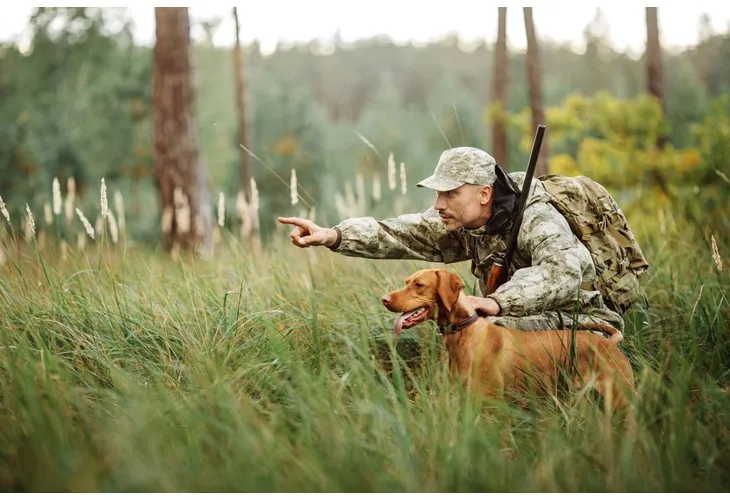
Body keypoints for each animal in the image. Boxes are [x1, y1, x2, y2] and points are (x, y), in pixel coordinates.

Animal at [378, 268, 636, 412]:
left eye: (419, 285)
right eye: (407, 282)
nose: (384, 299)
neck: (464, 333)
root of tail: (609, 343)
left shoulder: (492, 407)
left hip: (621, 401)